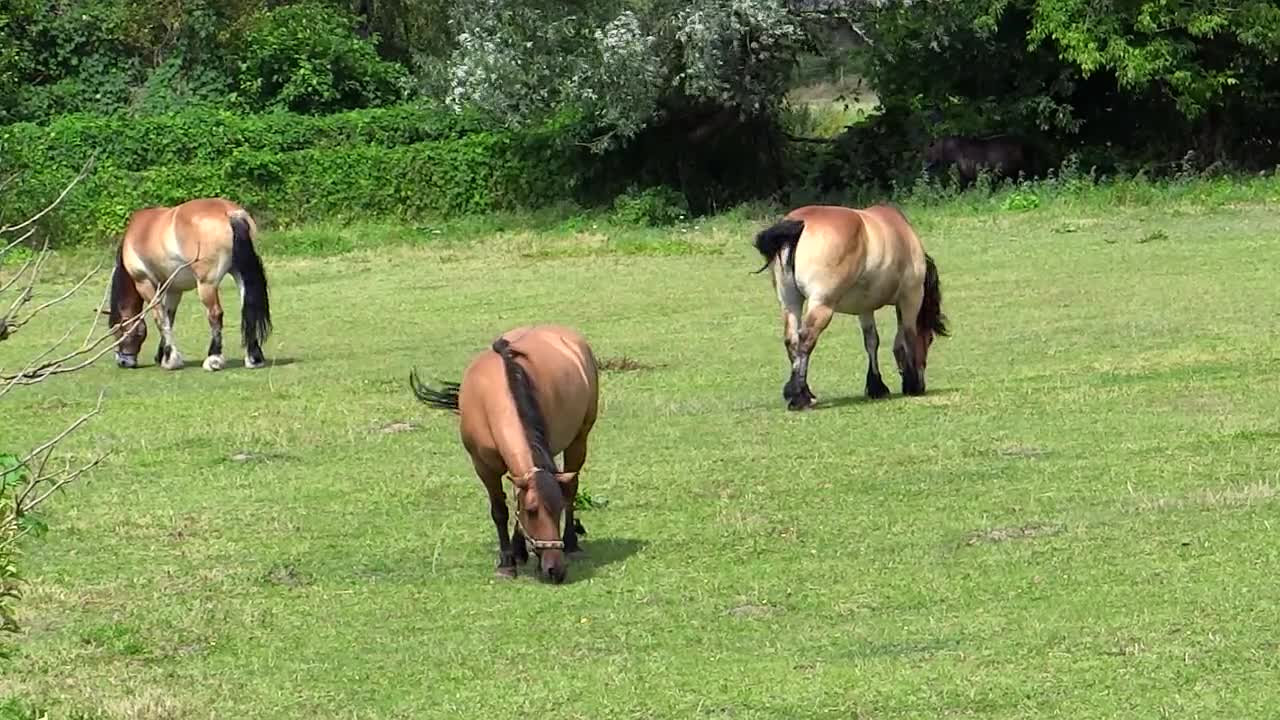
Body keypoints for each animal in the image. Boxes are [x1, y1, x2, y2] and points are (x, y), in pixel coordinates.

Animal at [106, 196, 272, 368]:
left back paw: (214, 359)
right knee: (248, 308)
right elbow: (169, 317)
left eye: (116, 331)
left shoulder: (144, 283)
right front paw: (162, 355)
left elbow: (160, 318)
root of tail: (230, 213)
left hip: (206, 284)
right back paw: (253, 357)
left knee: (215, 314)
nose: (123, 361)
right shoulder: (174, 289)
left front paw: (170, 360)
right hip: (240, 274)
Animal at [414, 325, 604, 584]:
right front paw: (508, 561)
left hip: (579, 439)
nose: (555, 570)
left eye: (557, 511)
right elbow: (501, 510)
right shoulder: (484, 466)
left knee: (571, 488)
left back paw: (572, 544)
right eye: (532, 511)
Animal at [747, 204, 952, 412]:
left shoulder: (865, 308)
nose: (922, 383)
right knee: (805, 340)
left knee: (792, 340)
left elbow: (872, 342)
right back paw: (800, 397)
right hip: (822, 305)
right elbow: (906, 338)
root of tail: (800, 223)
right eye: (930, 339)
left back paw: (803, 392)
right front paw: (912, 384)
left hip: (790, 303)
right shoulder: (911, 298)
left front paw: (876, 386)